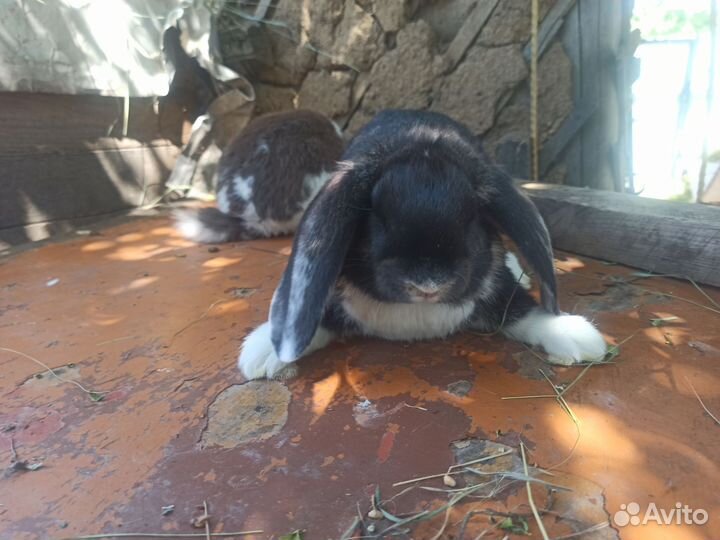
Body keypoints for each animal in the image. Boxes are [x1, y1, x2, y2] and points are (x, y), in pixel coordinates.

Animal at [238, 109, 607, 380]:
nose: (428, 284)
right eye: (378, 217)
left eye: (472, 217)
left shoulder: (500, 293)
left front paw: (578, 336)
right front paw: (261, 352)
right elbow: (316, 320)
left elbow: (523, 310)